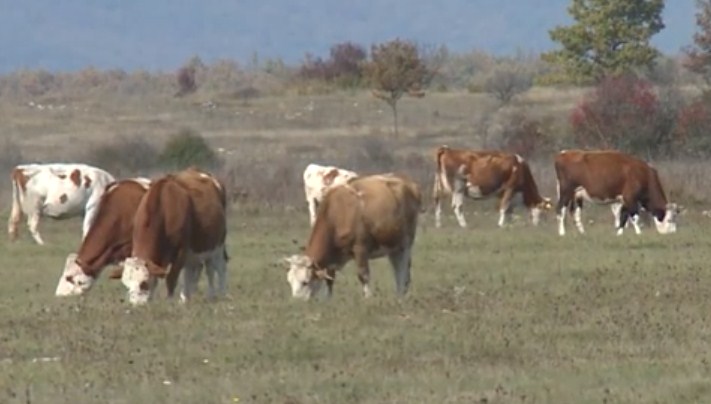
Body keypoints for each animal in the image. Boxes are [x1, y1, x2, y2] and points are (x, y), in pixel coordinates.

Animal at [117, 166, 228, 304]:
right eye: (126, 284)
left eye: (143, 283)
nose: (136, 304)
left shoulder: (180, 252)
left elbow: (171, 278)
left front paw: (169, 301)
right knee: (194, 270)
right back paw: (186, 298)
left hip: (217, 246)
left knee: (216, 267)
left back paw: (218, 294)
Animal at [282, 174, 420, 300]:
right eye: (289, 281)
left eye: (305, 282)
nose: (296, 301)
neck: (337, 214)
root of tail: (408, 184)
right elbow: (330, 279)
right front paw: (328, 299)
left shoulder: (360, 248)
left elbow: (363, 275)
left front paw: (368, 298)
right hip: (393, 247)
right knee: (398, 270)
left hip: (405, 244)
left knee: (403, 272)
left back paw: (401, 296)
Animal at [552, 150, 680, 235]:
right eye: (670, 219)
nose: (672, 233)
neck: (643, 175)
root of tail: (564, 153)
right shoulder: (630, 197)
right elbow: (634, 217)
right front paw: (638, 233)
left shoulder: (624, 200)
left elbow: (624, 216)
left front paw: (619, 232)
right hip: (566, 192)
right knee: (560, 210)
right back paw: (562, 233)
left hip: (577, 195)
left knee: (575, 213)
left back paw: (582, 232)